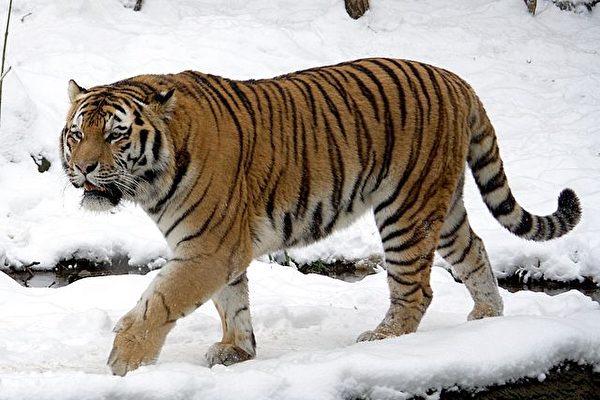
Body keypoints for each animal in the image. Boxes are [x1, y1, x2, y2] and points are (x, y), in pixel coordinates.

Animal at [61, 57, 580, 376]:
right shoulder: (219, 249)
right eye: (77, 134)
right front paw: (237, 351)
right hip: (442, 204)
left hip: (405, 208)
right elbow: (232, 302)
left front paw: (124, 363)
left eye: (115, 135)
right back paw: (486, 319)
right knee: (473, 250)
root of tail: (457, 80)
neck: (153, 178)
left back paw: (383, 340)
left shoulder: (208, 248)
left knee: (416, 288)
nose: (82, 168)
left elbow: (160, 302)